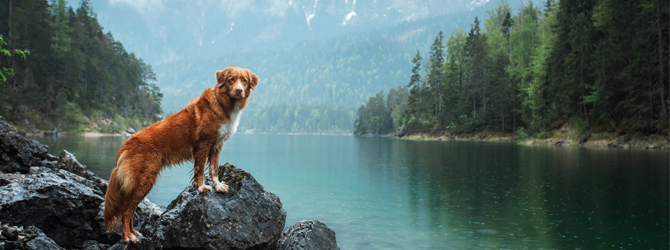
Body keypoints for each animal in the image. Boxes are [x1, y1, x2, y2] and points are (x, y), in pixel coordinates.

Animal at [103, 66, 260, 242]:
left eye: (244, 81)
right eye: (232, 79)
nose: (239, 90)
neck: (224, 104)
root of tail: (124, 146)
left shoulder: (217, 146)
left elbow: (213, 169)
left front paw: (218, 185)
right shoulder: (203, 144)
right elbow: (200, 169)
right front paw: (201, 188)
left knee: (131, 210)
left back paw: (134, 232)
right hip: (144, 180)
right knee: (126, 210)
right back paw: (128, 237)